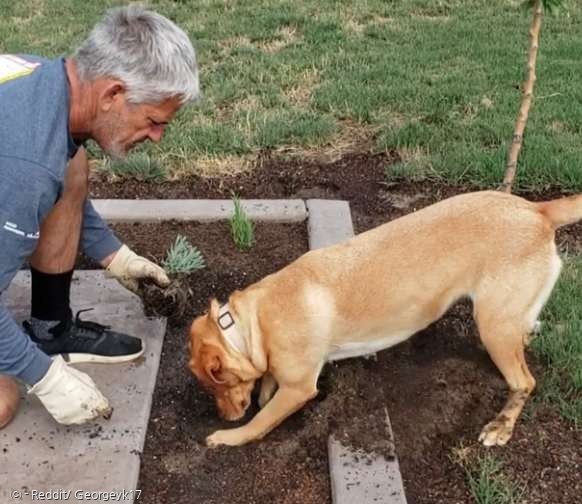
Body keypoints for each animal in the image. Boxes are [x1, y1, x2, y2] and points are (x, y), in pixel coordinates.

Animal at [190, 191, 580, 446]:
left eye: (213, 386)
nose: (224, 418)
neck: (251, 323)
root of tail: (536, 208)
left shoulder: (299, 388)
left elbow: (261, 421)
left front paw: (230, 435)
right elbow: (267, 382)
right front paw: (264, 388)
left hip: (493, 327)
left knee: (524, 382)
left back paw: (501, 426)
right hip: (507, 321)